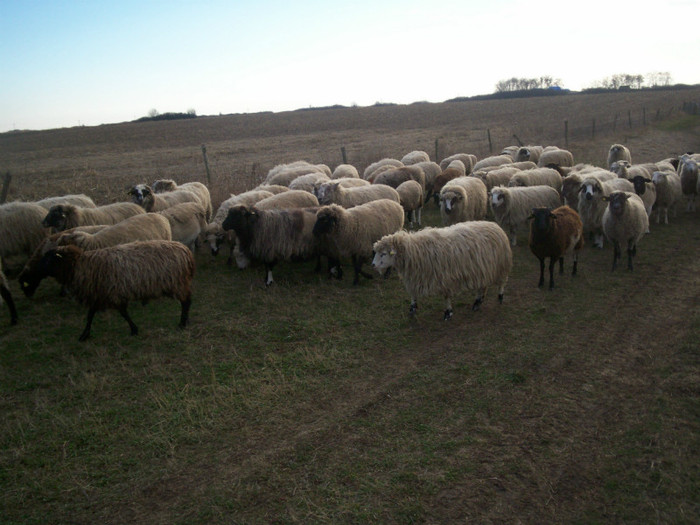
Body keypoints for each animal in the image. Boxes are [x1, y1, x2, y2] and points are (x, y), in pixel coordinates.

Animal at [35, 241, 194, 342]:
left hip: (177, 283)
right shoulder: (99, 295)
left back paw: (182, 324)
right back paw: (185, 322)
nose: (36, 270)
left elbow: (123, 313)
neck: (80, 265)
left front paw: (134, 330)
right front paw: (85, 334)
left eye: (48, 260)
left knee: (186, 302)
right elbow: (90, 315)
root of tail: (186, 251)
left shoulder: (113, 293)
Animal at [372, 220, 516, 320]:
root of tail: (495, 226)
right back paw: (477, 302)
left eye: (383, 254)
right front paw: (412, 309)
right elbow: (413, 294)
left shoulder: (445, 279)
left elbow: (446, 297)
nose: (373, 265)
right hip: (483, 269)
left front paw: (448, 313)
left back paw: (499, 297)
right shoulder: (415, 277)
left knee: (501, 283)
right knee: (482, 287)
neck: (415, 251)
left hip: (501, 266)